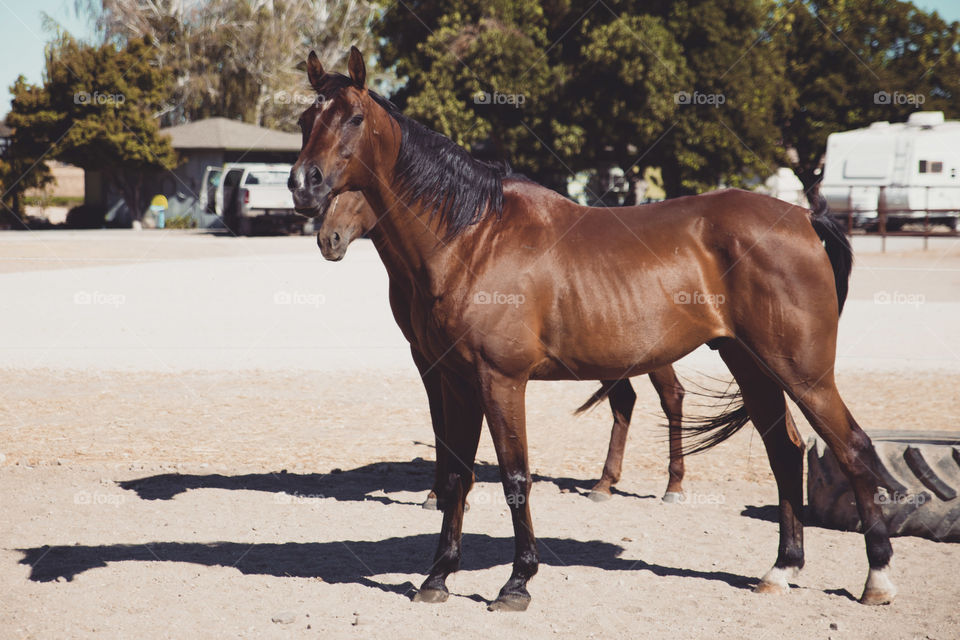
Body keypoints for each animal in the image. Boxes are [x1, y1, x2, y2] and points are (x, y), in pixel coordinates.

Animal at [318, 192, 688, 502]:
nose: (328, 239)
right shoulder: (425, 356)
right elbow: (440, 421)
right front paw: (439, 493)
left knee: (670, 397)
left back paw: (673, 485)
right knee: (624, 400)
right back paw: (604, 484)